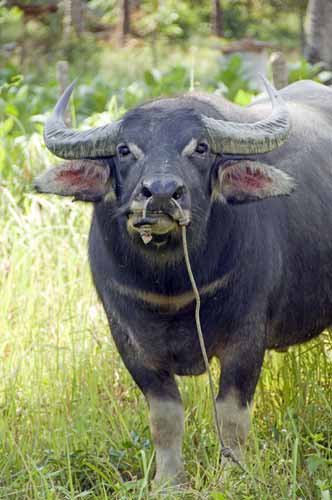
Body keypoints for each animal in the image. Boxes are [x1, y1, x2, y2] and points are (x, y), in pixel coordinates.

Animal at [35, 78, 332, 484]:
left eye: (200, 147)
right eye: (124, 149)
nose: (161, 194)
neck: (172, 287)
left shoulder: (246, 338)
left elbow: (231, 415)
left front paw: (232, 474)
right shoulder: (129, 341)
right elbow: (165, 418)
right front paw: (168, 480)